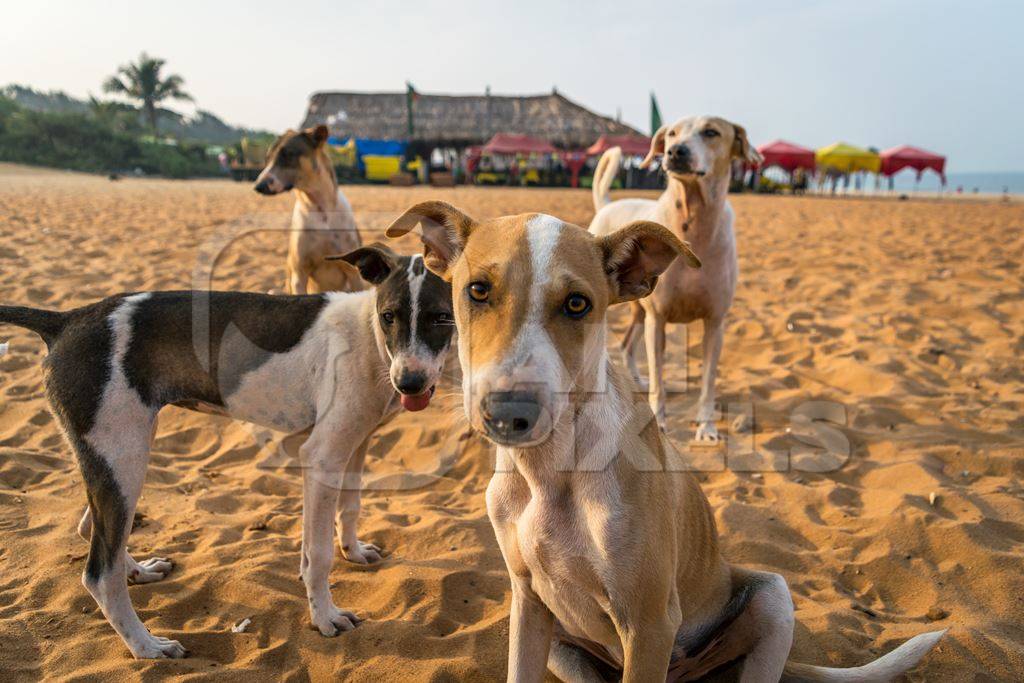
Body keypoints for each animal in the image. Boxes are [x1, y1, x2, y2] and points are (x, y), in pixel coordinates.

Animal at [0, 244, 452, 655]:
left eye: (441, 318)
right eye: (389, 316)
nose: (409, 383)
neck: (370, 339)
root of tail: (66, 320)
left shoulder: (356, 443)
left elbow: (351, 507)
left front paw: (354, 552)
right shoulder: (322, 455)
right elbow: (317, 555)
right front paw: (325, 617)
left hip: (115, 456)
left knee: (90, 530)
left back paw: (139, 572)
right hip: (124, 456)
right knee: (98, 573)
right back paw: (146, 646)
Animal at [254, 124, 364, 294]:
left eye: (288, 154)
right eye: (267, 158)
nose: (258, 186)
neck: (320, 209)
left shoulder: (353, 274)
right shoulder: (299, 275)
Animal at [385, 201, 942, 683]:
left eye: (577, 304)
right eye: (477, 290)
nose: (508, 412)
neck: (550, 470)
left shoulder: (649, 622)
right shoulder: (528, 605)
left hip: (771, 598)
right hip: (564, 645)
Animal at [593, 117, 761, 444]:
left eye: (711, 132)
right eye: (671, 133)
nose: (674, 152)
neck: (692, 221)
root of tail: (607, 204)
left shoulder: (715, 323)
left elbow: (708, 383)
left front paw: (707, 427)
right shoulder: (657, 319)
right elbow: (659, 381)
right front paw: (658, 422)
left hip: (638, 308)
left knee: (628, 344)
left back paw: (635, 380)